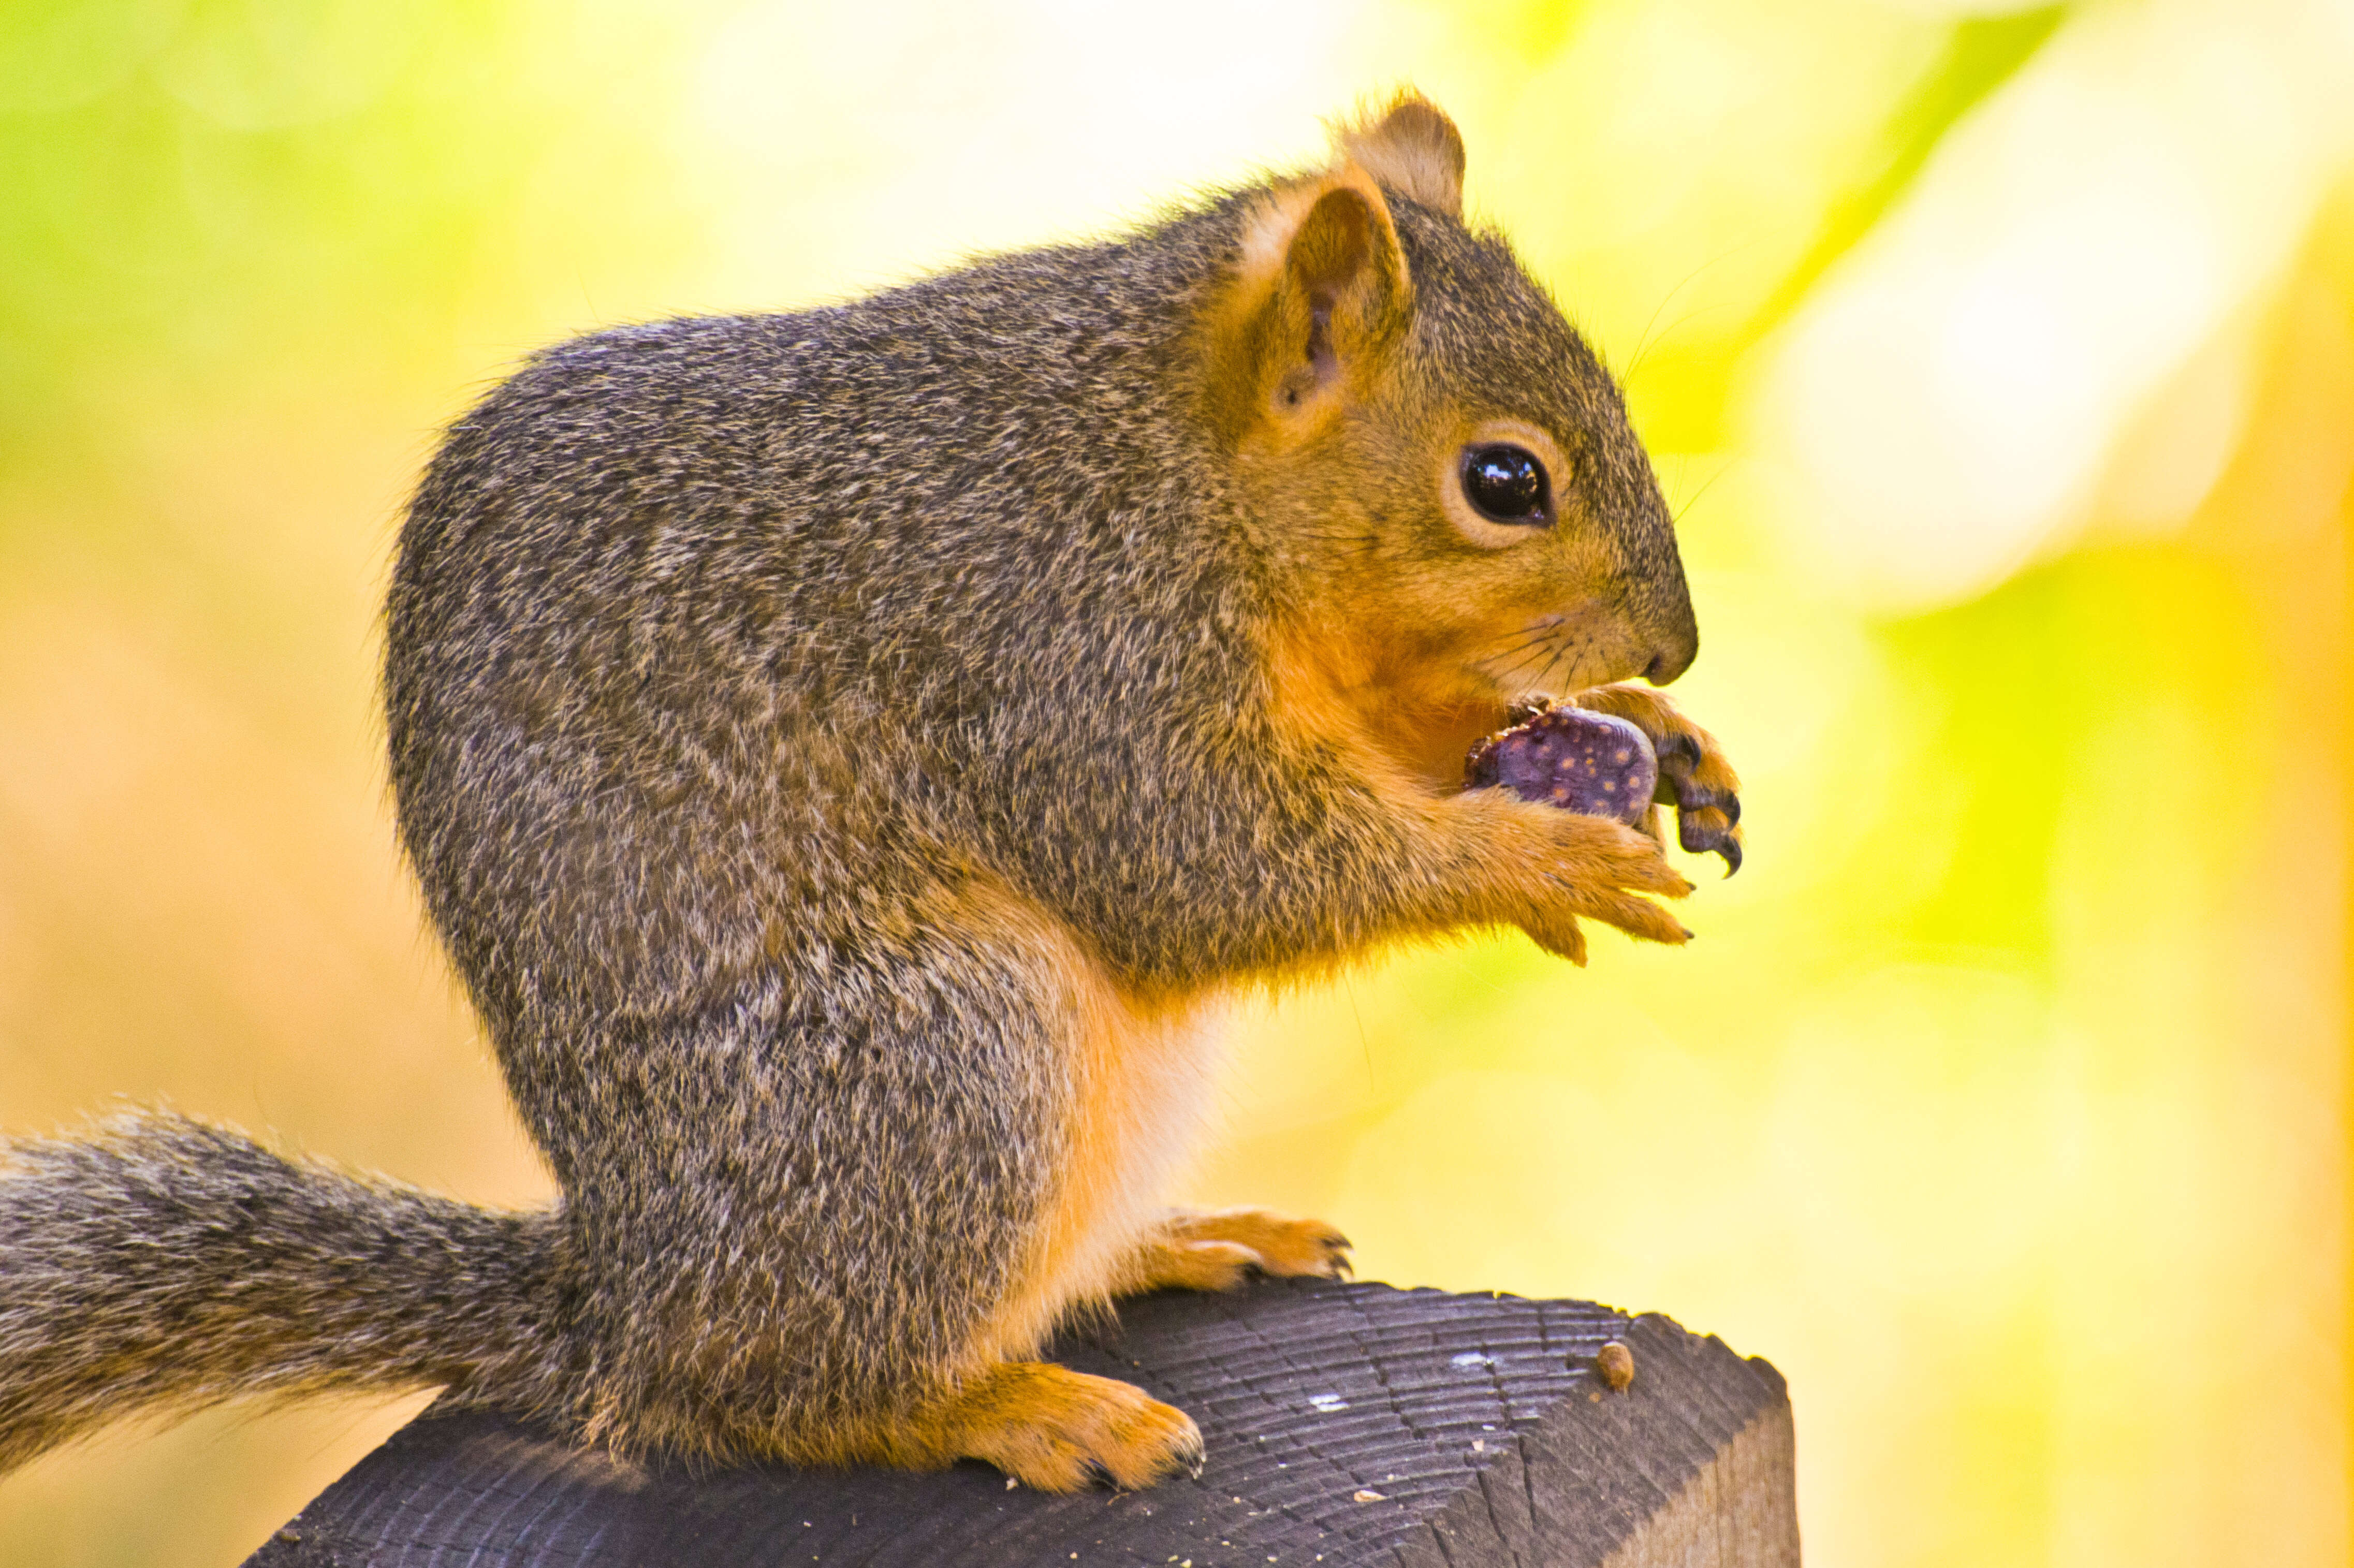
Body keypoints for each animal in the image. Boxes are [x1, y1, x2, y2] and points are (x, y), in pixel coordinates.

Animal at [0, 92, 1732, 1488]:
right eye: (1503, 481)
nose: (1680, 641)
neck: (1171, 460)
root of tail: (619, 1308)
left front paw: (1654, 736)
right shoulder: (1055, 643)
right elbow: (1197, 865)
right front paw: (1541, 859)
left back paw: (1176, 1241)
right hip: (944, 1062)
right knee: (765, 1399)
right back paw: (1019, 1407)